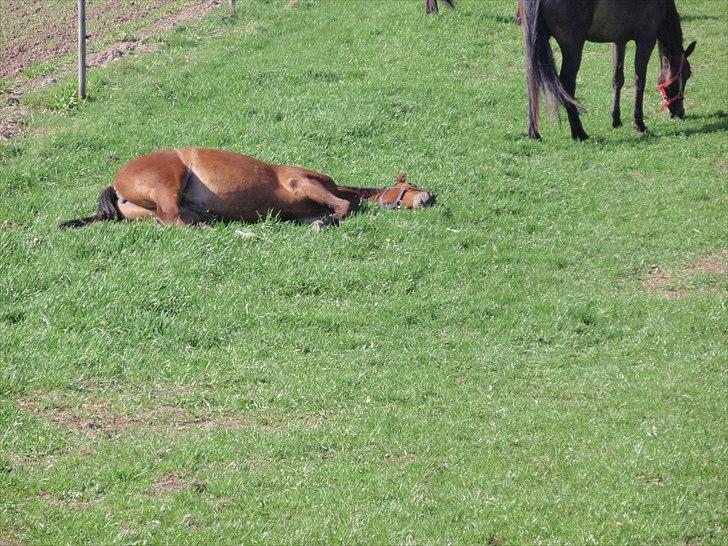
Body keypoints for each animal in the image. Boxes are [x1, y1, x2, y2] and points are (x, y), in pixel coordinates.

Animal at [524, 0, 692, 138]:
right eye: (686, 74)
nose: (680, 112)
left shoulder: (619, 40)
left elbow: (617, 79)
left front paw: (616, 120)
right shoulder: (646, 39)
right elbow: (640, 79)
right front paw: (638, 122)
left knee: (532, 80)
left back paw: (534, 132)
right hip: (572, 47)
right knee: (567, 83)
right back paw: (579, 132)